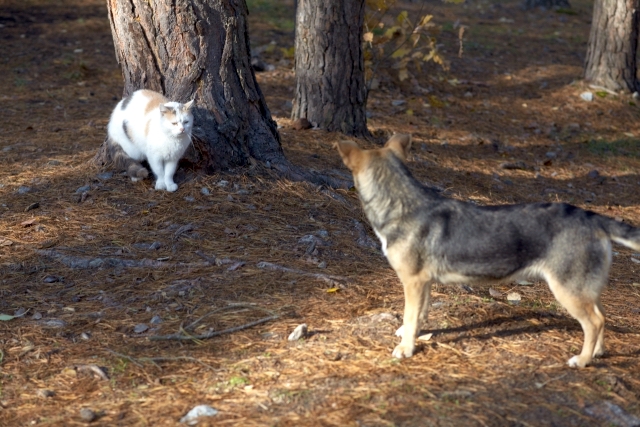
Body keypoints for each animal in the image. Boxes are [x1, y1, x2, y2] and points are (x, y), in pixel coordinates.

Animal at [338, 134, 640, 368]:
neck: (401, 205)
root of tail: (592, 218)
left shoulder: (412, 282)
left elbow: (411, 316)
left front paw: (406, 348)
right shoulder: (424, 283)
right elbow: (420, 314)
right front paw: (410, 336)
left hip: (568, 291)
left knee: (594, 323)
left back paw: (583, 360)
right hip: (585, 288)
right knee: (602, 317)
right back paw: (598, 353)